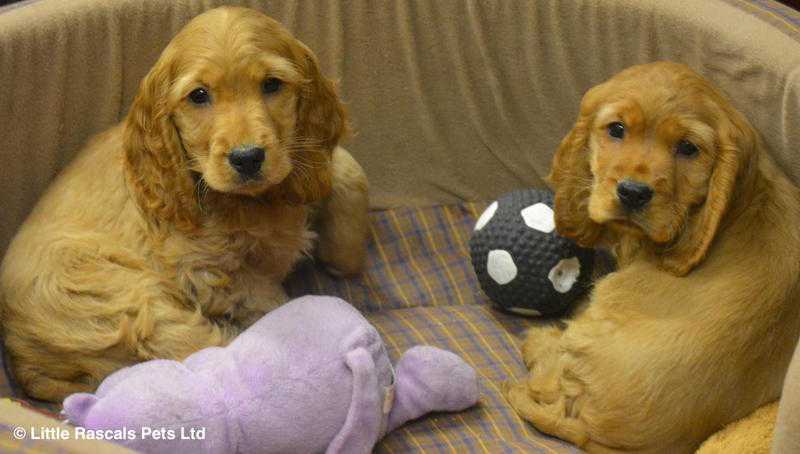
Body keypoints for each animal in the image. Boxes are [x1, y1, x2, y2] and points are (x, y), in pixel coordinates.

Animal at [0, 5, 368, 400]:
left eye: (272, 84)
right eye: (199, 95)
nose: (247, 158)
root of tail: (24, 361)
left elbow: (347, 170)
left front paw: (343, 257)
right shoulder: (203, 271)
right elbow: (271, 301)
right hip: (124, 305)